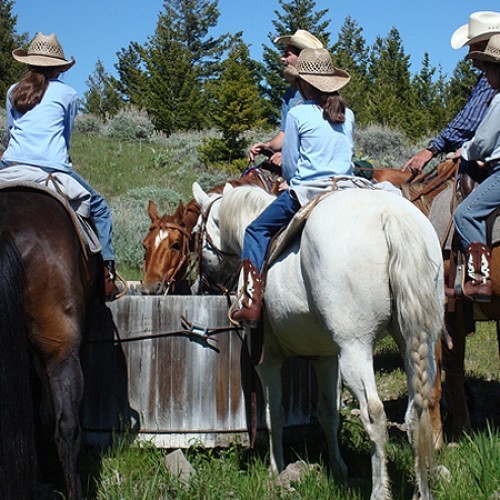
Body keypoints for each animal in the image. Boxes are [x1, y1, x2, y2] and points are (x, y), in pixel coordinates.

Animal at [192, 183, 446, 500]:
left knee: (374, 414)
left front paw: (276, 469)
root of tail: (391, 217)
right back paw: (422, 491)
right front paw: (339, 468)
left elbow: (274, 413)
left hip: (355, 348)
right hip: (417, 343)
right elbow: (328, 414)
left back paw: (379, 491)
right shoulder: (327, 358)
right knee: (416, 412)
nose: (198, 286)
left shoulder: (267, 359)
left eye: (195, 234)